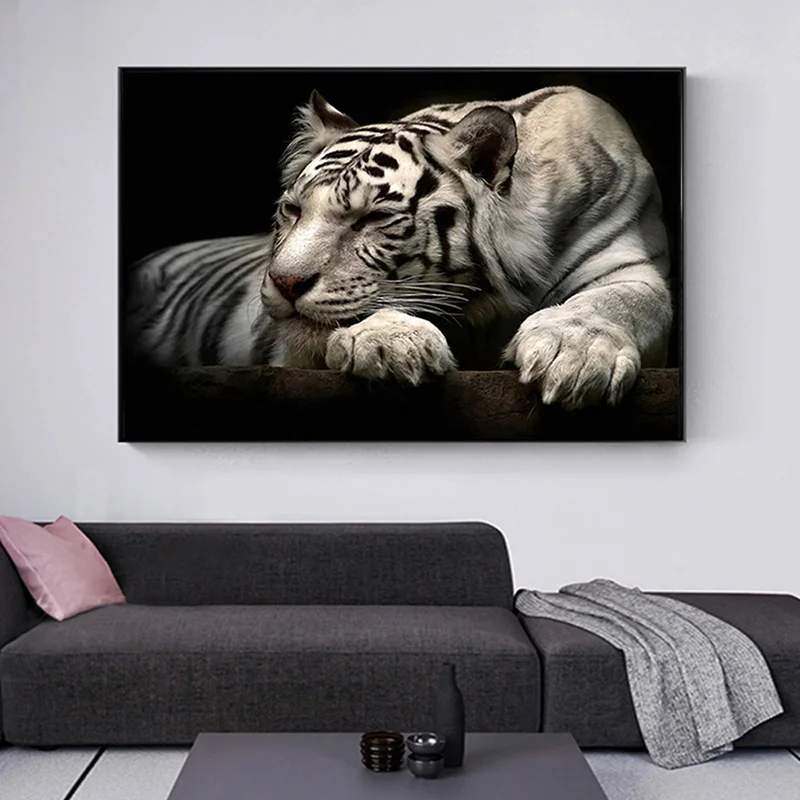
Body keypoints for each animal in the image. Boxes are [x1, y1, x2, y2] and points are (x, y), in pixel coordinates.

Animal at [260, 86, 673, 409]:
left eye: (375, 218)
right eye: (293, 210)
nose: (286, 282)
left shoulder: (627, 265)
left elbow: (615, 302)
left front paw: (573, 355)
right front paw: (389, 342)